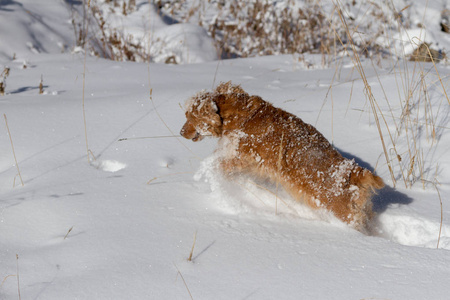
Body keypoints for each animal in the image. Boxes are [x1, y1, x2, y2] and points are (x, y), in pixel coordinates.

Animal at [181, 81, 384, 231]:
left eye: (189, 115)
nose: (181, 132)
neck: (238, 114)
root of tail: (354, 172)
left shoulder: (244, 158)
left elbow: (220, 165)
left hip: (343, 214)